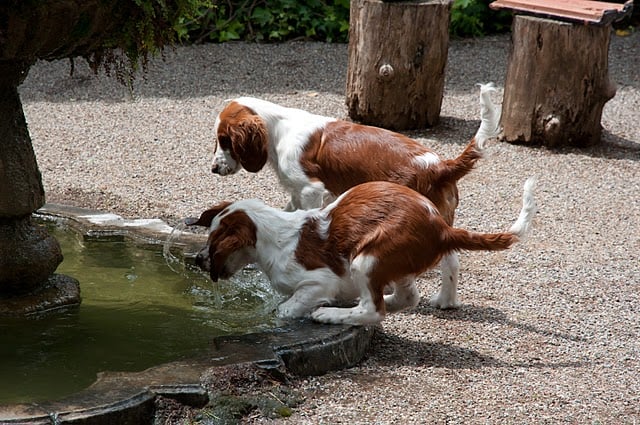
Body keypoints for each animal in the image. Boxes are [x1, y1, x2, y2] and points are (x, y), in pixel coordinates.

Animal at [188, 178, 536, 324]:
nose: (197, 260)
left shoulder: (319, 281)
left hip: (367, 257)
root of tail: (441, 228)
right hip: (393, 261)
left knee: (373, 310)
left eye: (214, 243)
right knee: (408, 297)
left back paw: (331, 315)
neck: (273, 237)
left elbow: (287, 308)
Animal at [210, 83, 500, 308]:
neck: (278, 129)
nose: (213, 169)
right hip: (439, 217)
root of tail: (440, 166)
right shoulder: (301, 194)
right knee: (451, 259)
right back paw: (445, 301)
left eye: (224, 140)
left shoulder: (310, 189)